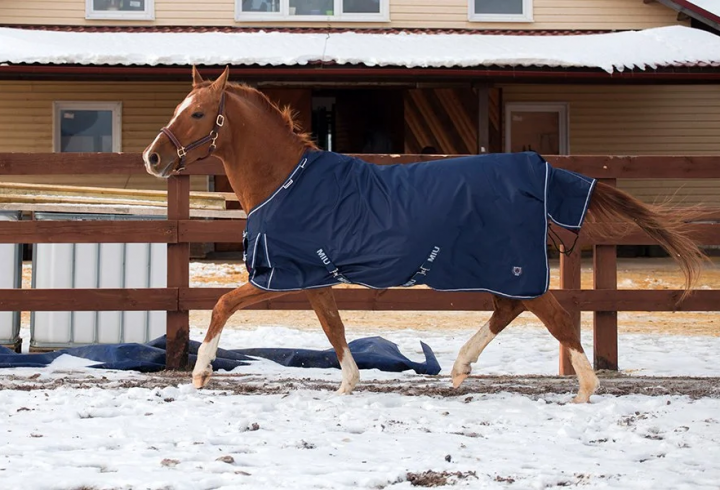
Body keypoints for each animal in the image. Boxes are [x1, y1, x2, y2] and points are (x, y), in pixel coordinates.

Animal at [145, 66, 704, 402]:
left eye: (197, 113)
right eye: (178, 108)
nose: (153, 157)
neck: (286, 180)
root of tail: (537, 167)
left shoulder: (280, 275)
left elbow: (222, 304)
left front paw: (200, 372)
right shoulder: (315, 278)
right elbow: (335, 328)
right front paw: (349, 383)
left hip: (514, 265)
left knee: (553, 316)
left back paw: (585, 386)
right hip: (506, 268)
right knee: (510, 310)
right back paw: (460, 368)